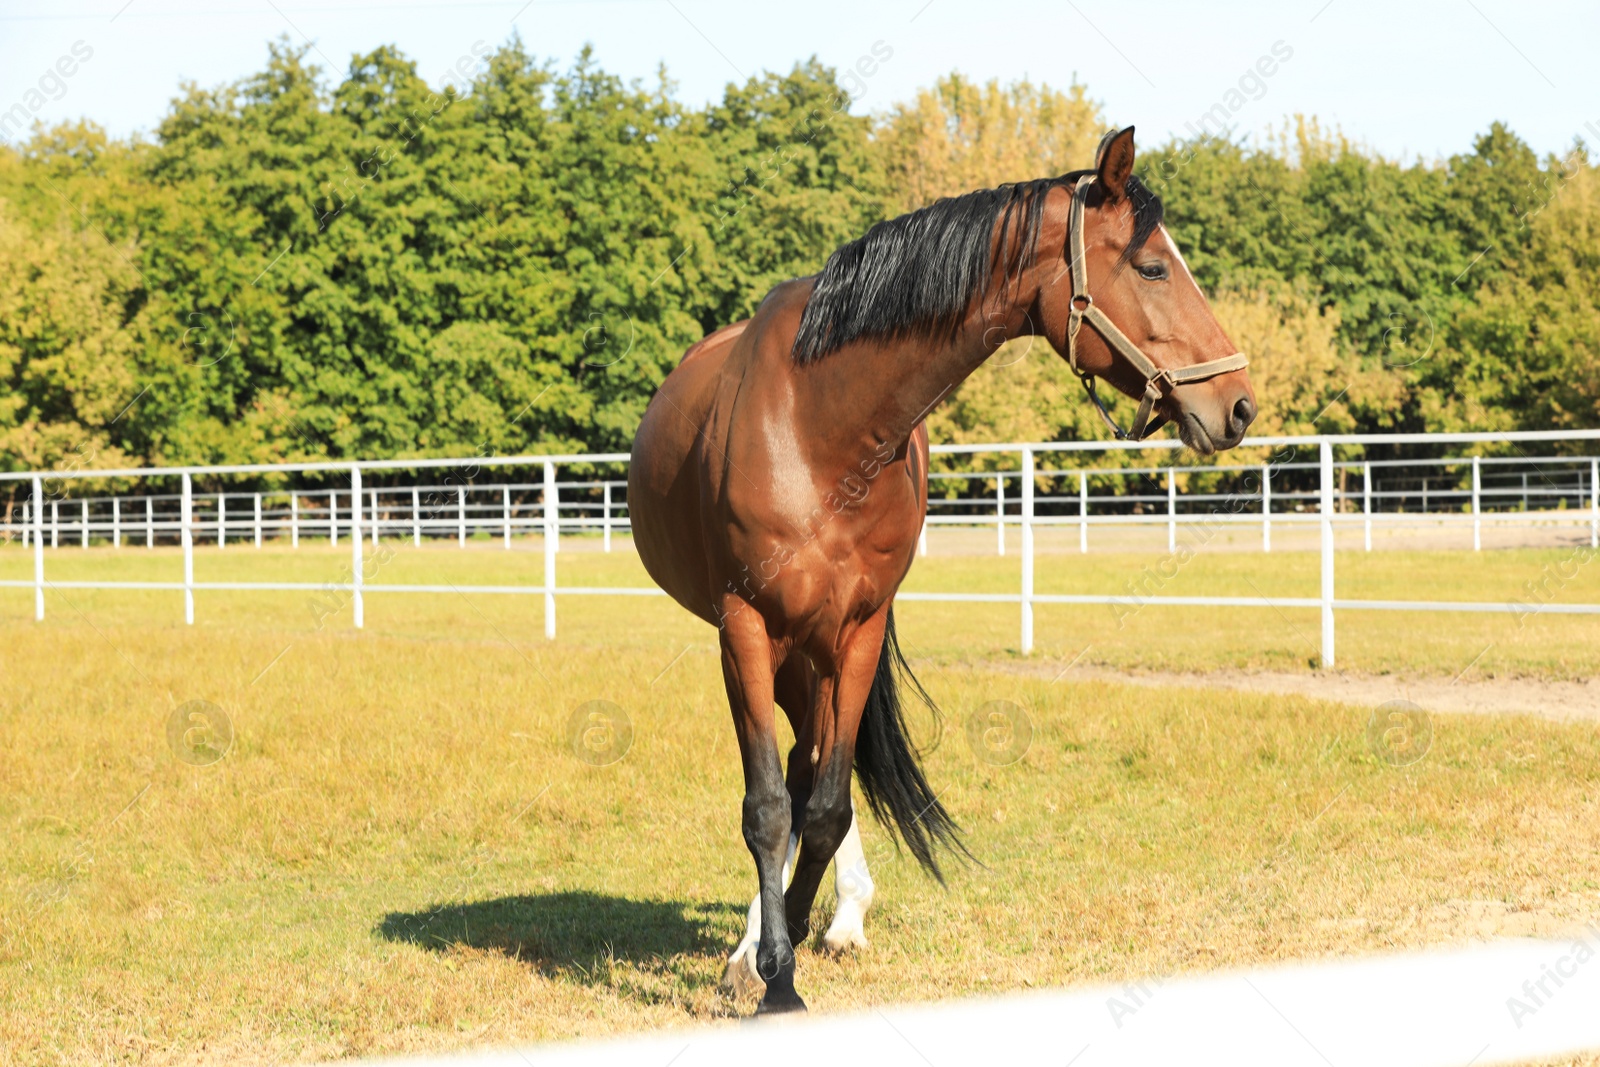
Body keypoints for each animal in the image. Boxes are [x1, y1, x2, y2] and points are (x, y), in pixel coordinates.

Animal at [630, 129, 1254, 1017]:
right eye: (1152, 268)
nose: (1237, 404)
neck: (824, 424)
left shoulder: (855, 630)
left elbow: (823, 804)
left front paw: (782, 951)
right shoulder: (745, 627)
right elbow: (768, 808)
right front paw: (775, 978)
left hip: (816, 651)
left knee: (816, 770)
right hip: (781, 649)